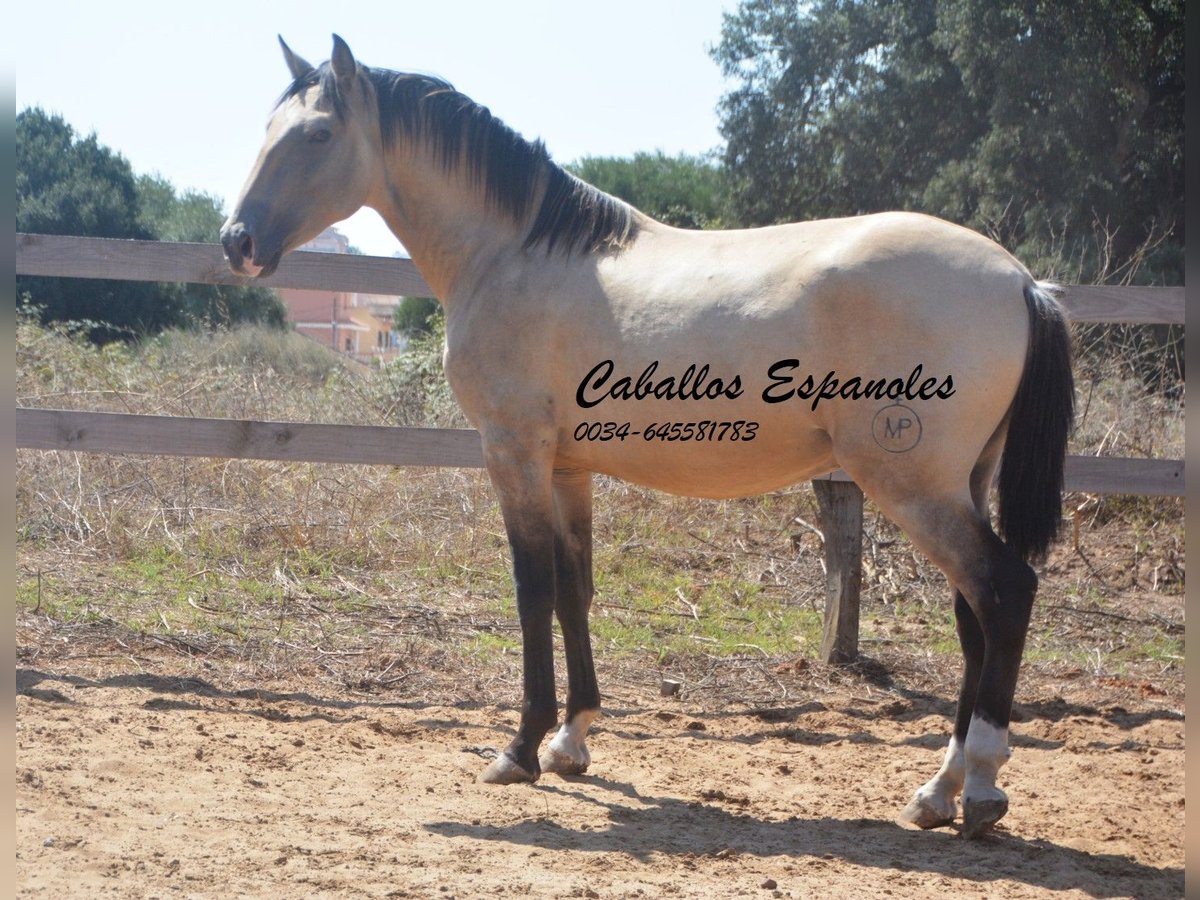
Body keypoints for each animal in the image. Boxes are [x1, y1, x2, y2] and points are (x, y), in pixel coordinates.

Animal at [220, 33, 1075, 840]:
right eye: (267, 128)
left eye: (319, 133)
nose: (237, 241)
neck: (514, 251)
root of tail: (1020, 282)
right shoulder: (568, 467)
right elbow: (574, 589)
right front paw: (572, 740)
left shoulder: (514, 451)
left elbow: (532, 589)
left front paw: (520, 749)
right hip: (958, 485)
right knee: (974, 617)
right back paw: (938, 792)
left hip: (913, 486)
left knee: (1004, 593)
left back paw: (982, 788)